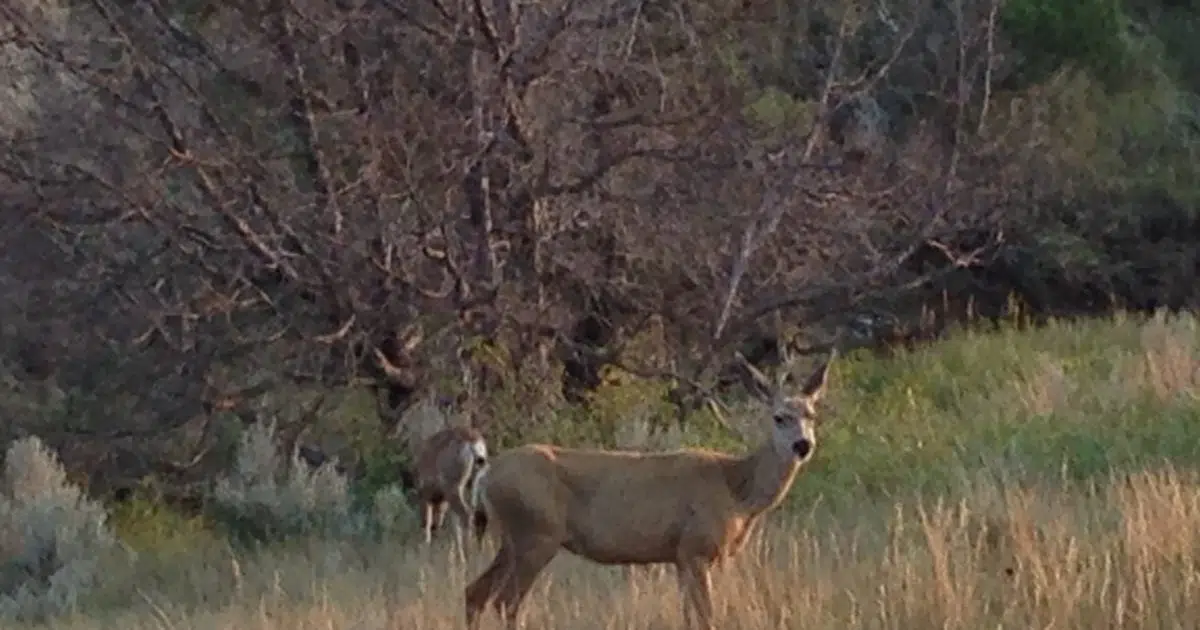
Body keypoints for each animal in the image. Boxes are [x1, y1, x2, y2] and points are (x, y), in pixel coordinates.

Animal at [413, 425, 491, 562]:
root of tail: (473, 443)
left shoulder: (429, 496)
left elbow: (430, 523)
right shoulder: (443, 500)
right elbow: (452, 526)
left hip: (454, 486)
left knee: (467, 515)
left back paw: (469, 555)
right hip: (475, 481)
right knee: (479, 515)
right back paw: (478, 554)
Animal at [463, 347, 836, 629]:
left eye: (812, 415)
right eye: (779, 417)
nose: (803, 445)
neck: (738, 492)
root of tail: (488, 475)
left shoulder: (679, 556)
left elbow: (689, 618)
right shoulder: (697, 548)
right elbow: (707, 617)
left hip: (511, 538)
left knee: (475, 593)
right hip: (536, 534)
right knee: (505, 602)